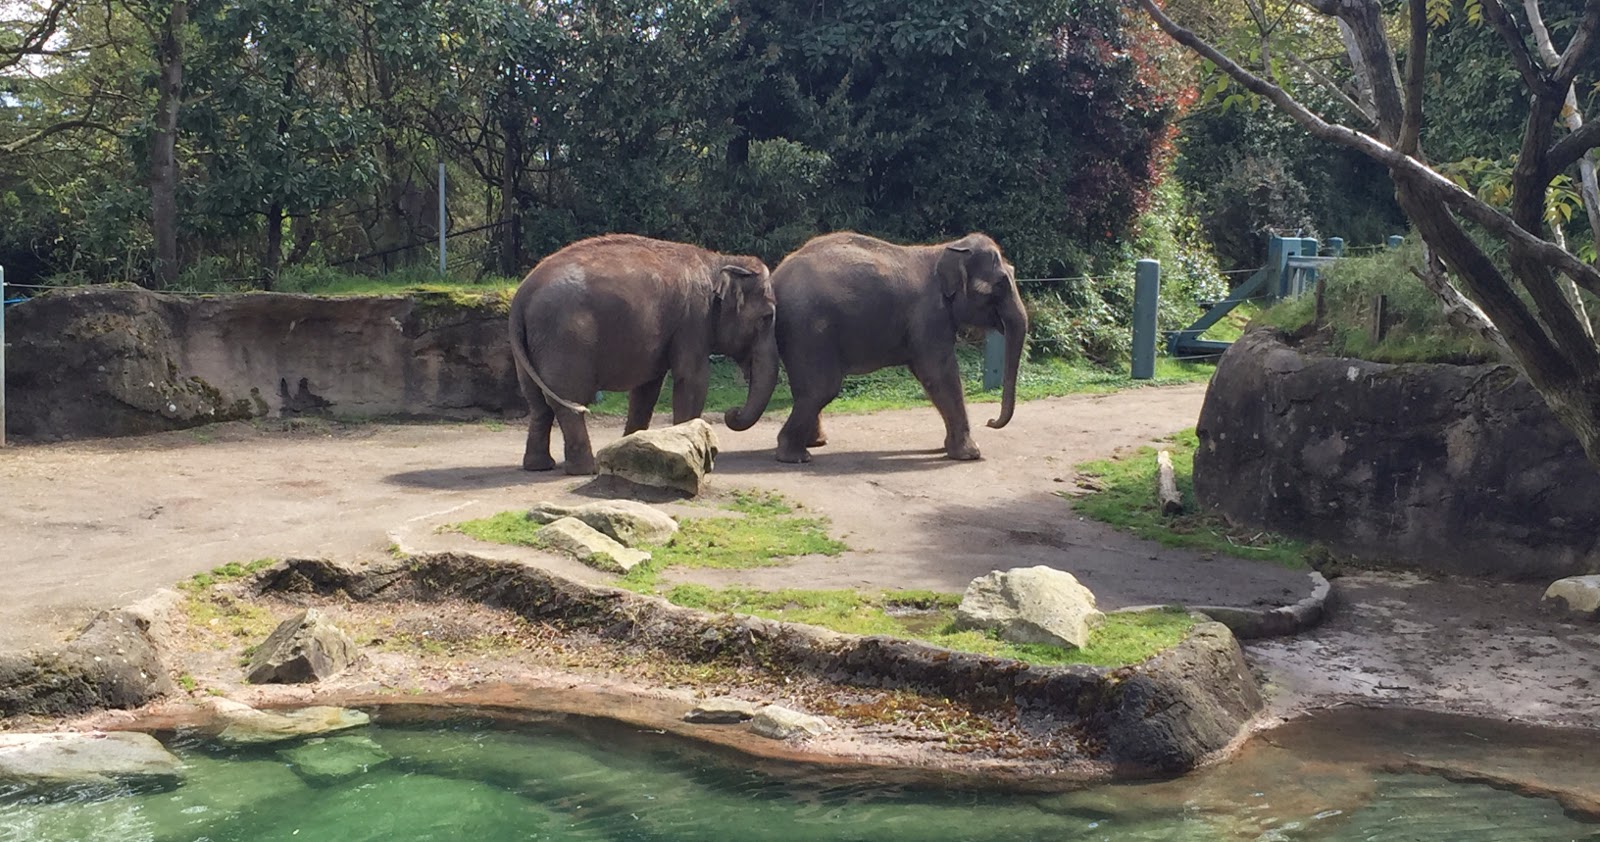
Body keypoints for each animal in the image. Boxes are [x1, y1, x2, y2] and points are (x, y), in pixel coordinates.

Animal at [508, 234, 778, 474]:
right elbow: (693, 379)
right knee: (568, 402)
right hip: (565, 339)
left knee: (538, 403)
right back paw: (585, 469)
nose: (732, 412)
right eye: (767, 317)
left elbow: (647, 389)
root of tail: (521, 296)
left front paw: (630, 452)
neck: (720, 260)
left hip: (532, 345)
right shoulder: (693, 319)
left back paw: (539, 466)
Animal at [770, 232, 1027, 463]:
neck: (945, 249)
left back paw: (815, 443)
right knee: (822, 387)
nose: (991, 422)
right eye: (1000, 285)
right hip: (808, 329)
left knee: (808, 388)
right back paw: (796, 456)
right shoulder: (929, 317)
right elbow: (938, 373)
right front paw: (970, 454)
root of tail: (775, 276)